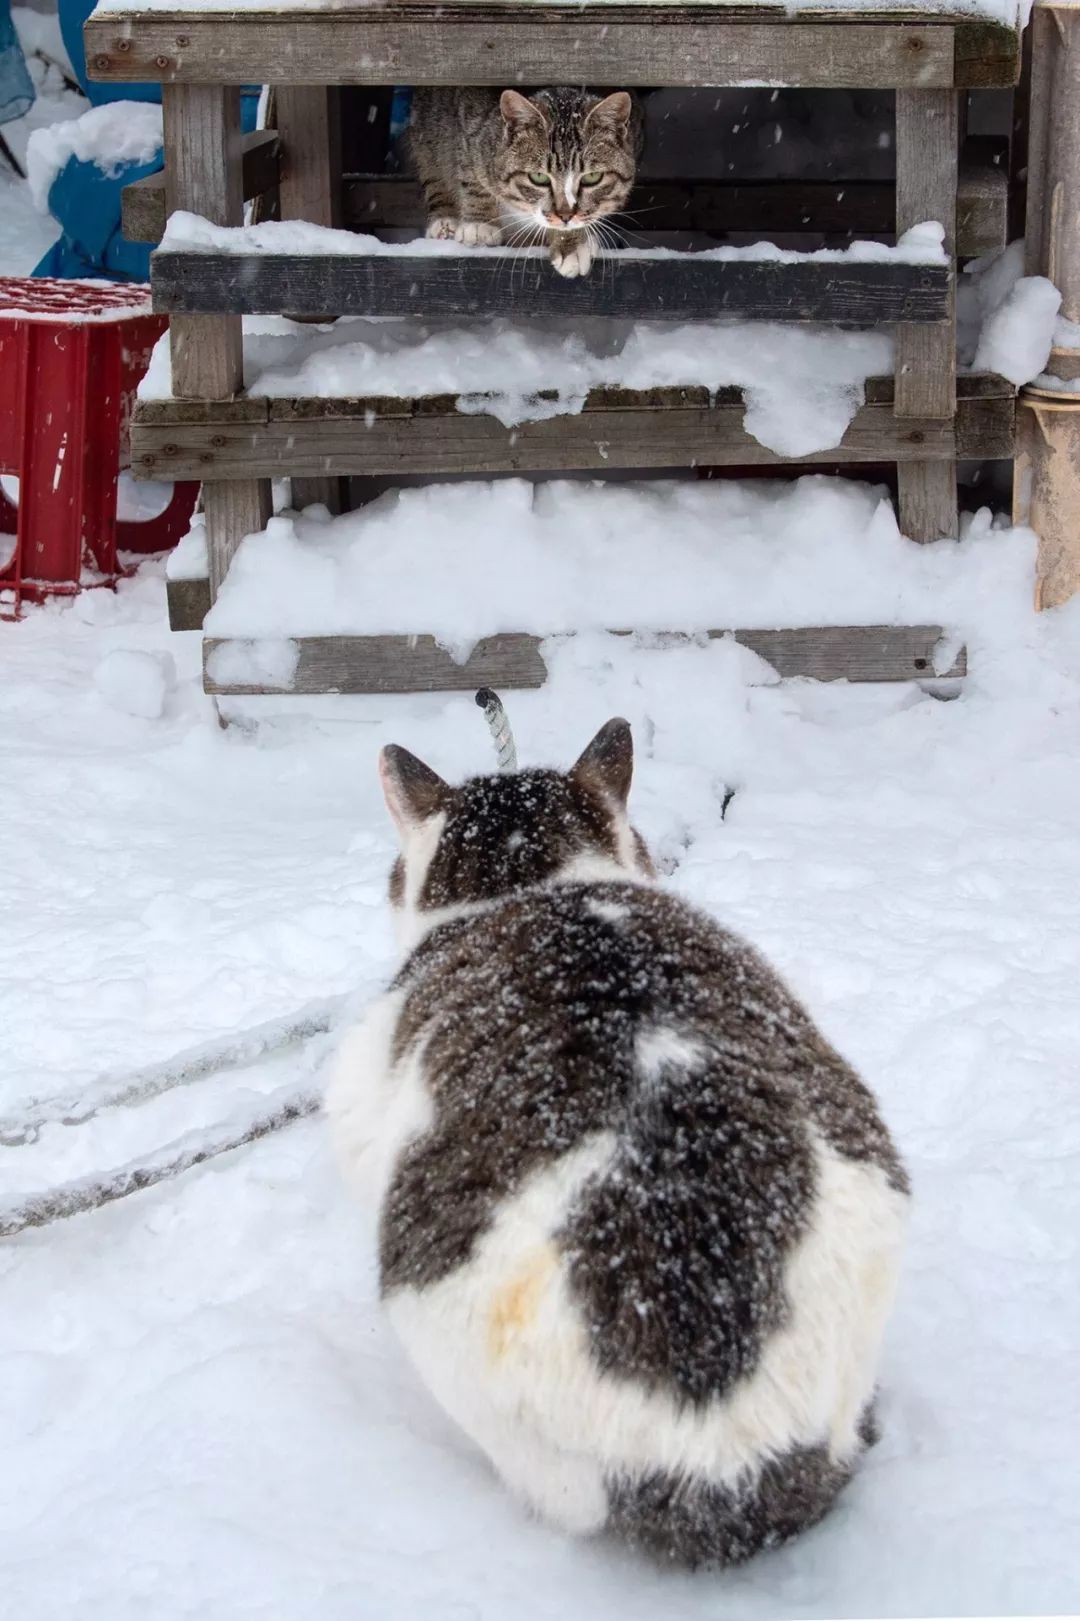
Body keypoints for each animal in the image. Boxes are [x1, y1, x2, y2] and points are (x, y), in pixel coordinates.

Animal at [403, 86, 638, 278]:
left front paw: (571, 242)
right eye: (539, 177)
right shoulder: (470, 119)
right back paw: (444, 220)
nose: (565, 216)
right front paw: (480, 224)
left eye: (591, 177)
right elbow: (470, 174)